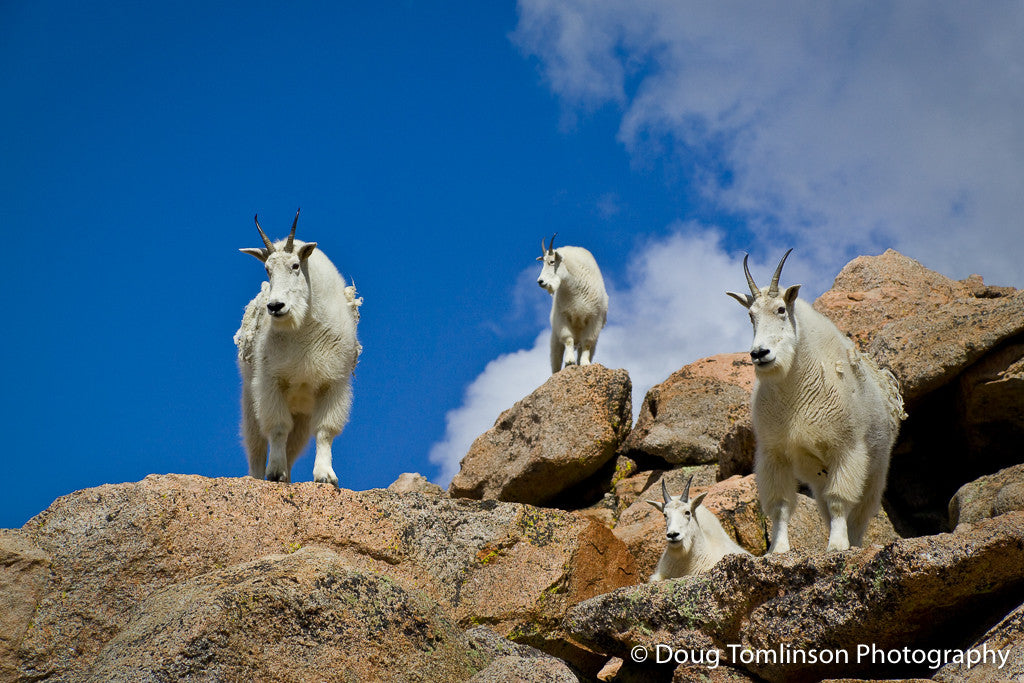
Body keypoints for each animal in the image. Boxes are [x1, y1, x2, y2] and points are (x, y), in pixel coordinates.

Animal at [234, 209, 361, 486]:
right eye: (267, 270)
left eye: (295, 266)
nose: (275, 306)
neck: (302, 328)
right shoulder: (270, 382)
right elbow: (278, 428)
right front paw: (275, 472)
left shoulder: (333, 383)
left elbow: (325, 431)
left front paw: (325, 476)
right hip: (250, 398)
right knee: (256, 446)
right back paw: (260, 476)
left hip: (301, 412)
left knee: (293, 447)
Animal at [536, 234, 609, 373]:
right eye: (543, 262)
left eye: (552, 262)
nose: (540, 282)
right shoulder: (563, 318)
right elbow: (568, 340)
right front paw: (569, 361)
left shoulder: (594, 320)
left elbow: (587, 343)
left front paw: (585, 363)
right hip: (555, 341)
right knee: (556, 361)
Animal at [727, 250, 906, 552]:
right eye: (751, 315)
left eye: (781, 309)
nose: (760, 353)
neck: (793, 388)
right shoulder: (774, 453)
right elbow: (780, 505)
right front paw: (778, 549)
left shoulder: (846, 449)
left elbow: (839, 500)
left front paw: (836, 545)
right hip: (816, 472)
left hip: (876, 466)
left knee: (861, 511)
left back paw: (854, 542)